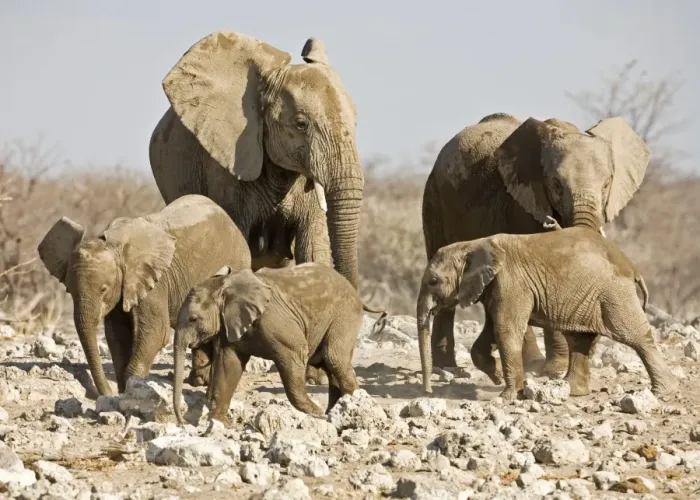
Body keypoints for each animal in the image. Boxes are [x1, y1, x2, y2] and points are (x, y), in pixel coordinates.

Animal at [37, 194, 252, 396]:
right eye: (69, 291)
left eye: (103, 289)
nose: (105, 392)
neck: (116, 247)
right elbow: (117, 335)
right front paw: (121, 394)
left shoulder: (154, 283)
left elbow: (155, 332)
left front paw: (131, 390)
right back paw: (198, 380)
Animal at [149, 32, 368, 386]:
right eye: (301, 124)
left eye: (356, 121)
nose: (325, 363)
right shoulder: (227, 166)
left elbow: (313, 248)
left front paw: (314, 378)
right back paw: (200, 376)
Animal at [172, 263, 379, 425]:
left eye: (193, 319)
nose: (182, 423)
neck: (224, 285)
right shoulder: (229, 325)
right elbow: (229, 365)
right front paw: (219, 423)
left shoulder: (274, 319)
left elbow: (296, 353)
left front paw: (316, 413)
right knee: (329, 363)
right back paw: (333, 413)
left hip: (345, 314)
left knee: (334, 358)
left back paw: (355, 406)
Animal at [416, 226, 677, 400]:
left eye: (433, 281)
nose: (427, 392)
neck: (472, 244)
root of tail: (631, 266)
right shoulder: (495, 286)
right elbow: (488, 335)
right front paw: (499, 377)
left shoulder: (512, 282)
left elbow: (506, 330)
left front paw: (506, 396)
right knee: (579, 340)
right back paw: (571, 390)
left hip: (614, 293)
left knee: (636, 336)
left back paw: (662, 392)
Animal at [422, 112, 650, 382]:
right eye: (556, 184)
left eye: (607, 185)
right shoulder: (522, 204)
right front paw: (555, 370)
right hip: (433, 199)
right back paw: (450, 368)